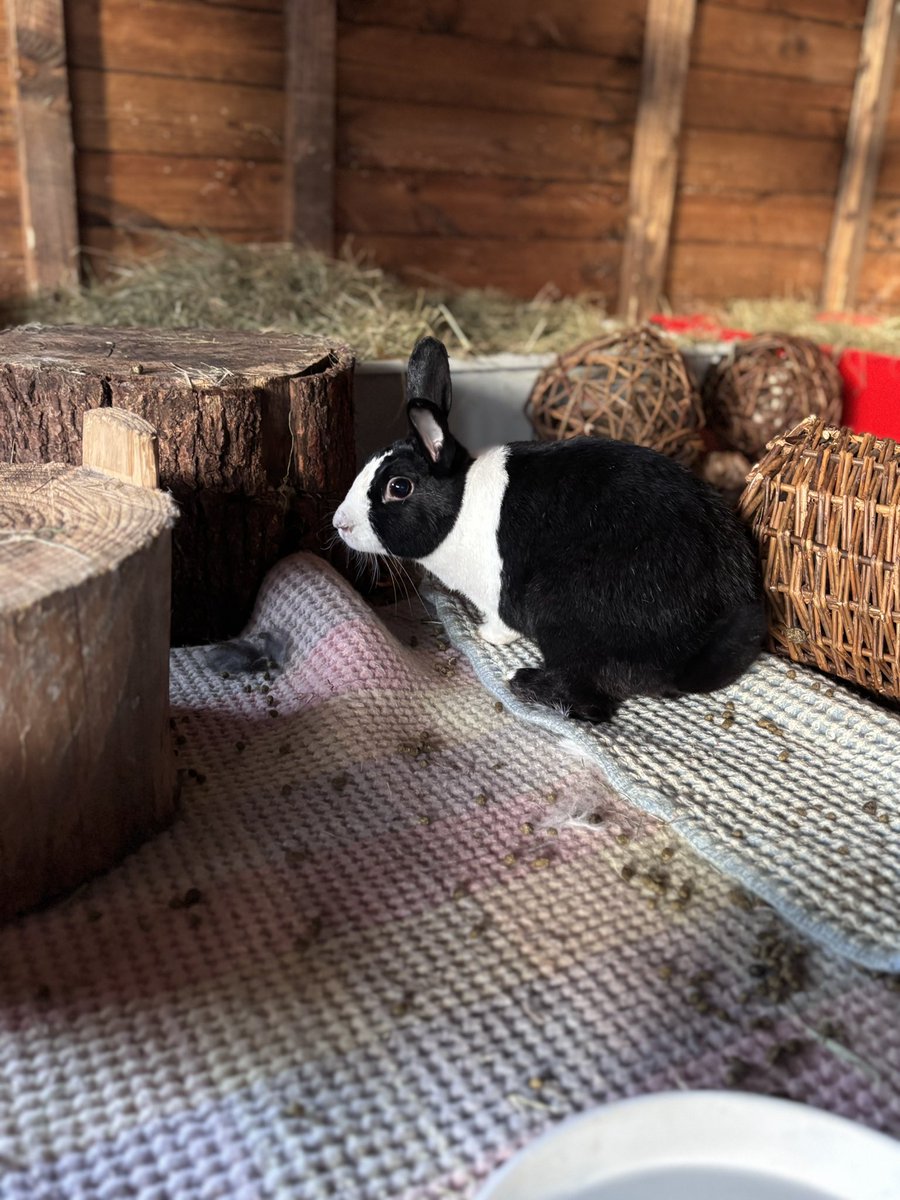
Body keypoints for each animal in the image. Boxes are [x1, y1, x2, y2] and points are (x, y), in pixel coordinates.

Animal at [333, 335, 767, 723]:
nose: (340, 524)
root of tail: (696, 648)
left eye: (398, 487)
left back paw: (522, 681)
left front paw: (487, 636)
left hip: (561, 611)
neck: (460, 504)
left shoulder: (498, 596)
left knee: (592, 703)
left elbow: (501, 623)